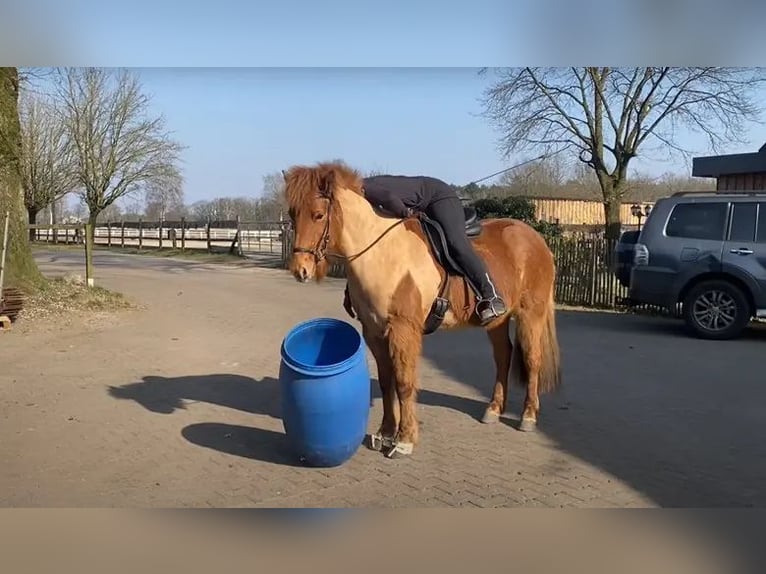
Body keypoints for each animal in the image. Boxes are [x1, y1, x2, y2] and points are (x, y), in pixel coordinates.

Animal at [284, 161, 560, 460]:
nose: (300, 270)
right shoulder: (374, 331)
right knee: (503, 356)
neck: (381, 253)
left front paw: (404, 440)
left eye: (318, 214)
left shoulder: (403, 329)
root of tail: (535, 238)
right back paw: (494, 409)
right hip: (498, 321)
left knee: (532, 359)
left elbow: (404, 383)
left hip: (530, 314)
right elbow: (386, 381)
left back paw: (528, 416)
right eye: (292, 213)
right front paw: (385, 433)